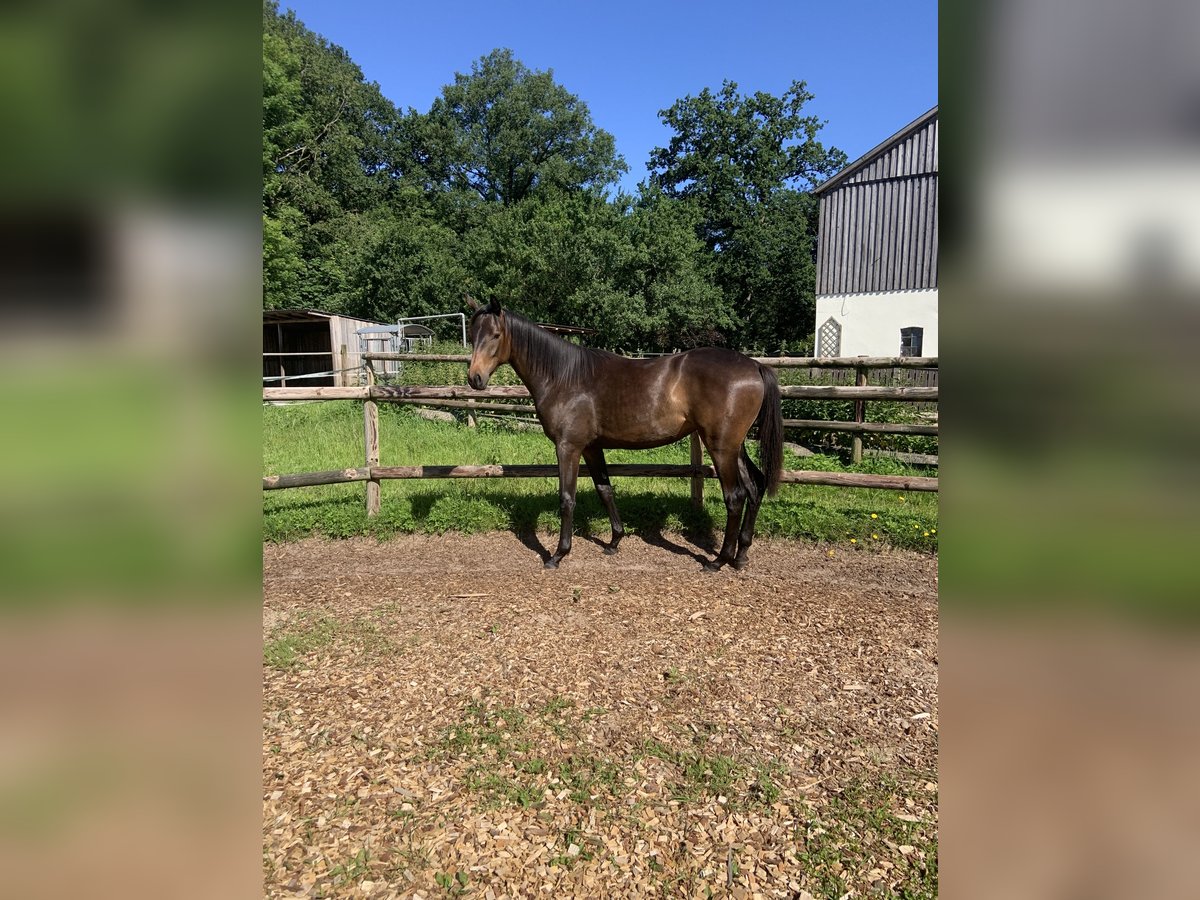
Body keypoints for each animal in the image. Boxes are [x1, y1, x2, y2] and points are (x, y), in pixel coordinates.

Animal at [463, 297, 782, 571]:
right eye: (473, 334)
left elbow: (567, 498)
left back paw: (719, 561)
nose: (475, 378)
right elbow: (605, 490)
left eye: (495, 335)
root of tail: (754, 365)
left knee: (736, 496)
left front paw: (558, 554)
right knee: (755, 487)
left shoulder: (568, 447)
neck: (564, 376)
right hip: (733, 446)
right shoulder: (591, 447)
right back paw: (741, 556)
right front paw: (615, 541)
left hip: (720, 446)